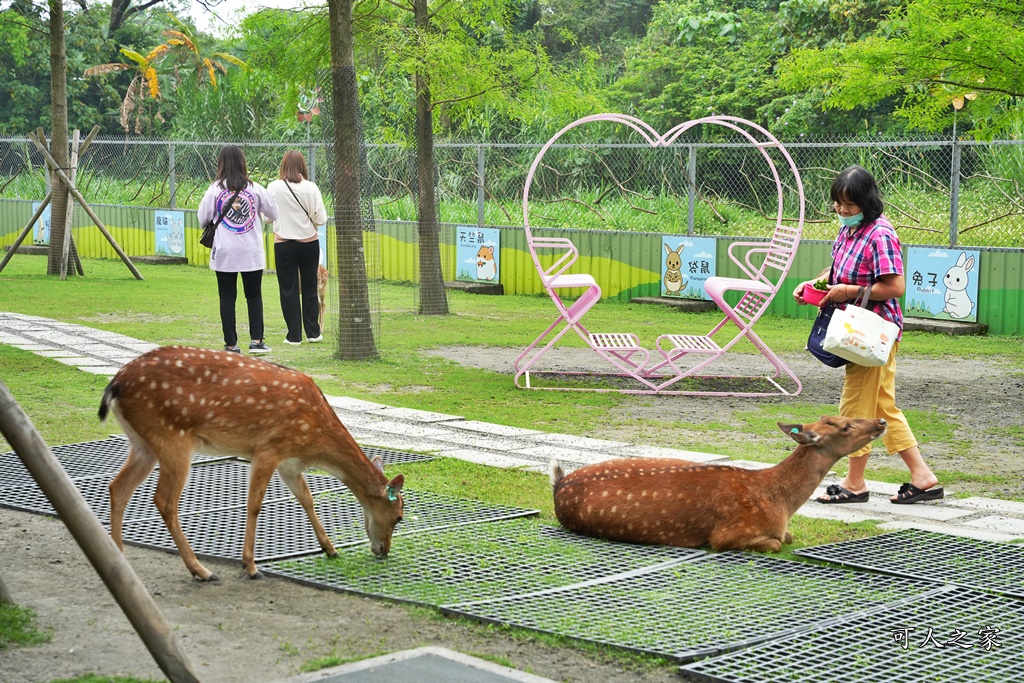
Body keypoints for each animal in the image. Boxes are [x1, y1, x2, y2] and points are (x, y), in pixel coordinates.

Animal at [98, 344, 403, 581]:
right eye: (399, 516)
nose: (384, 550)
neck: (315, 442)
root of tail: (115, 385)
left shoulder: (290, 463)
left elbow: (306, 499)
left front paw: (330, 548)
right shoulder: (268, 449)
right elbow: (254, 504)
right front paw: (251, 566)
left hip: (142, 444)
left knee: (118, 488)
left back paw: (119, 558)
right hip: (172, 439)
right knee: (164, 500)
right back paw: (201, 571)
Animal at [548, 417, 884, 557]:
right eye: (845, 426)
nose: (881, 421)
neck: (779, 501)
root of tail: (559, 482)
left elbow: (788, 536)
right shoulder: (728, 534)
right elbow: (777, 542)